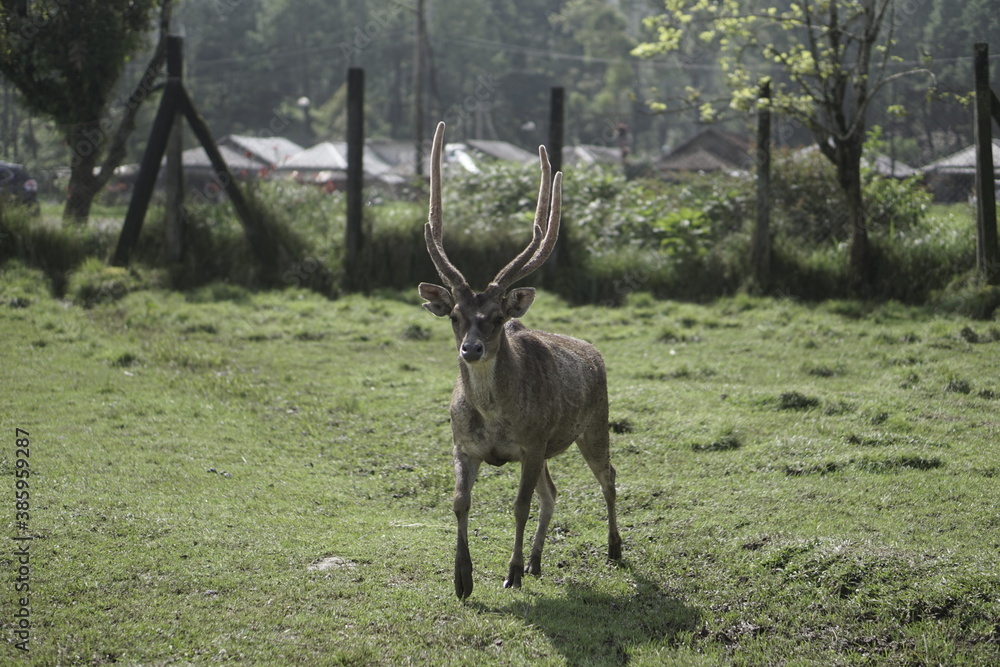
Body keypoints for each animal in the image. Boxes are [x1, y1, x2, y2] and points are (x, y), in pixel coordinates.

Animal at [418, 121, 622, 599]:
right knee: (555, 491)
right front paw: (462, 579)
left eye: (496, 318)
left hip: (594, 423)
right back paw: (536, 562)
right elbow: (460, 502)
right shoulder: (462, 444)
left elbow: (519, 505)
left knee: (608, 476)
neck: (495, 417)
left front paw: (509, 573)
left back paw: (614, 548)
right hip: (552, 446)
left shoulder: (531, 443)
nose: (471, 349)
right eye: (454, 316)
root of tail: (594, 352)